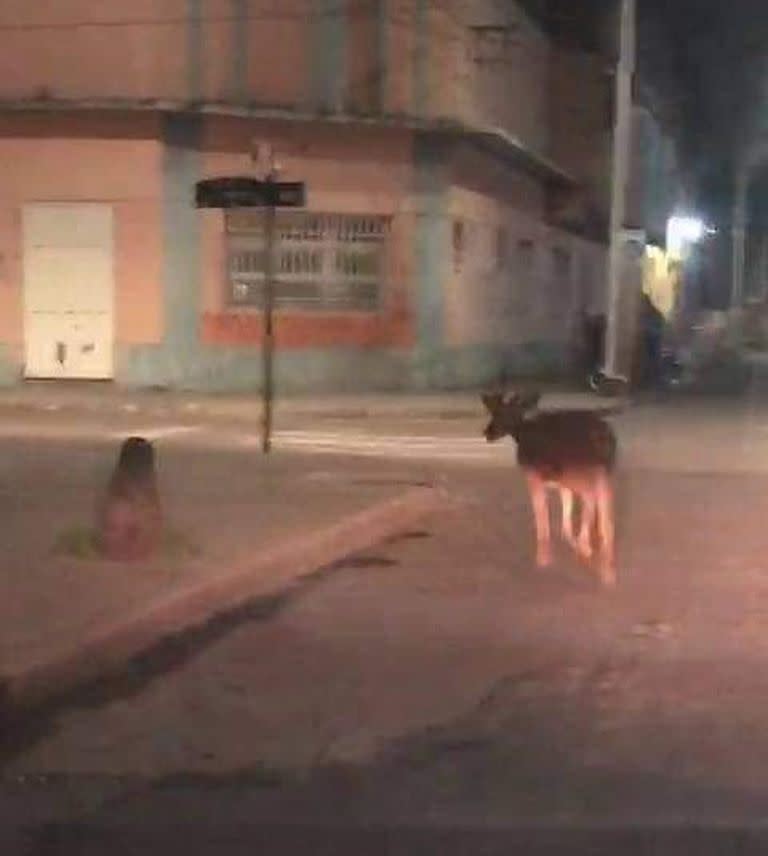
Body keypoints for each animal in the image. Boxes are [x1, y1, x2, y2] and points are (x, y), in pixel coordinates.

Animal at [480, 390, 616, 584]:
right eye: (494, 412)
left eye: (505, 413)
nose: (488, 433)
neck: (523, 434)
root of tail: (602, 438)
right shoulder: (562, 483)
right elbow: (566, 513)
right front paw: (570, 541)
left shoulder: (534, 476)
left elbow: (541, 514)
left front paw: (543, 558)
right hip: (601, 471)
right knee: (603, 505)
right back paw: (602, 558)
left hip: (580, 470)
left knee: (593, 500)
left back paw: (587, 549)